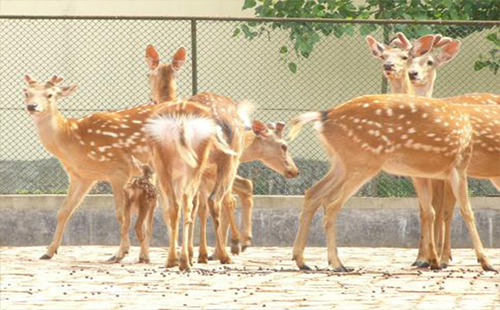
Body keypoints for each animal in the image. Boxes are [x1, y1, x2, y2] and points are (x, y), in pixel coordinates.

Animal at [290, 93, 500, 272]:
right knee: (332, 204)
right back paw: (337, 263)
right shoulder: (459, 165)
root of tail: (323, 116)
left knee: (313, 194)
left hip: (341, 162)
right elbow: (466, 212)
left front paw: (433, 261)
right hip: (363, 161)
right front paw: (485, 262)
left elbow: (430, 212)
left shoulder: (422, 173)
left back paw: (302, 261)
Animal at [366, 32, 498, 268]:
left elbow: (444, 211)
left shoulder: (446, 174)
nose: (412, 73)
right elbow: (426, 210)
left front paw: (441, 258)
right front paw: (423, 258)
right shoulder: (421, 173)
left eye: (429, 61)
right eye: (383, 55)